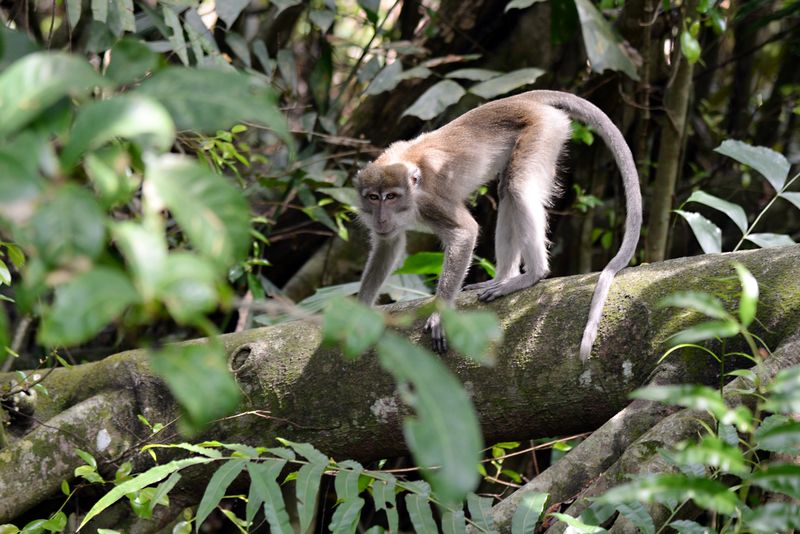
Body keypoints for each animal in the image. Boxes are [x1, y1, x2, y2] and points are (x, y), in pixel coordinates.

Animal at [355, 90, 641, 360]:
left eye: (391, 196)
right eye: (373, 197)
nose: (381, 217)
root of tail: (522, 99)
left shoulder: (430, 203)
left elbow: (465, 232)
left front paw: (440, 313)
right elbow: (388, 243)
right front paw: (359, 310)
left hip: (544, 130)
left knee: (518, 187)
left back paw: (533, 274)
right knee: (507, 192)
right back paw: (504, 276)